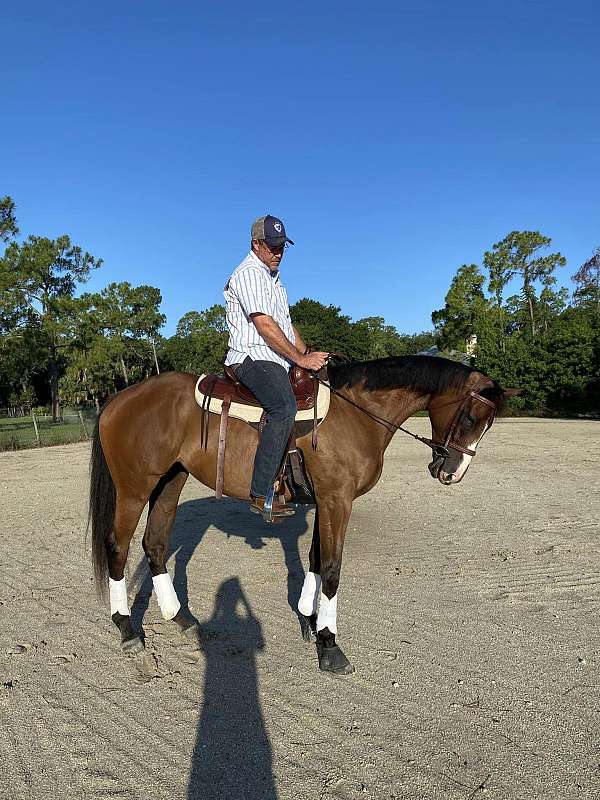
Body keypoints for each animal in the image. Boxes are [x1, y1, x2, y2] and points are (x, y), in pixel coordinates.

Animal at [86, 356, 516, 676]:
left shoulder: (327, 500)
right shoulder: (337, 500)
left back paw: (180, 617)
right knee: (118, 547)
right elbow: (332, 569)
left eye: (488, 423)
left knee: (155, 544)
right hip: (135, 488)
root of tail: (118, 399)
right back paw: (127, 629)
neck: (355, 415)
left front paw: (310, 620)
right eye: (471, 418)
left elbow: (315, 559)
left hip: (170, 481)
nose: (452, 473)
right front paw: (329, 644)